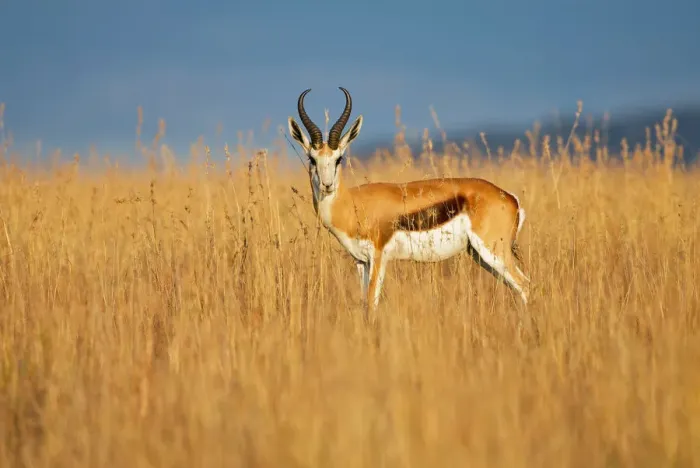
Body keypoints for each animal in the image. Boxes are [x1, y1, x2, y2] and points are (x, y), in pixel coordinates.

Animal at [288, 87, 530, 311]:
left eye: (339, 158)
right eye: (311, 158)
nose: (327, 185)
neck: (352, 204)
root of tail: (511, 198)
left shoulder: (378, 257)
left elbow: (372, 302)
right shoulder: (360, 261)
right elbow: (364, 303)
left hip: (492, 251)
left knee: (525, 285)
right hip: (480, 255)